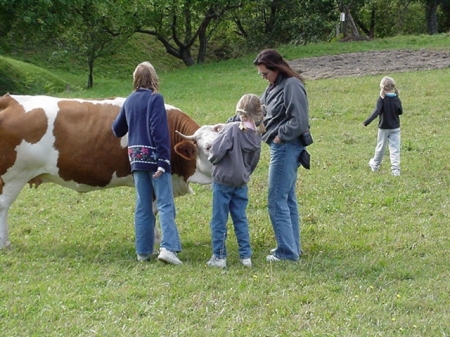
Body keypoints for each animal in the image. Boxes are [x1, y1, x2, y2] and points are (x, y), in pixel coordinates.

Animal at [0, 93, 218, 248]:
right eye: (208, 148)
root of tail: (10, 100)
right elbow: (153, 208)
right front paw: (154, 239)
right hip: (13, 176)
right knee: (3, 205)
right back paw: (5, 244)